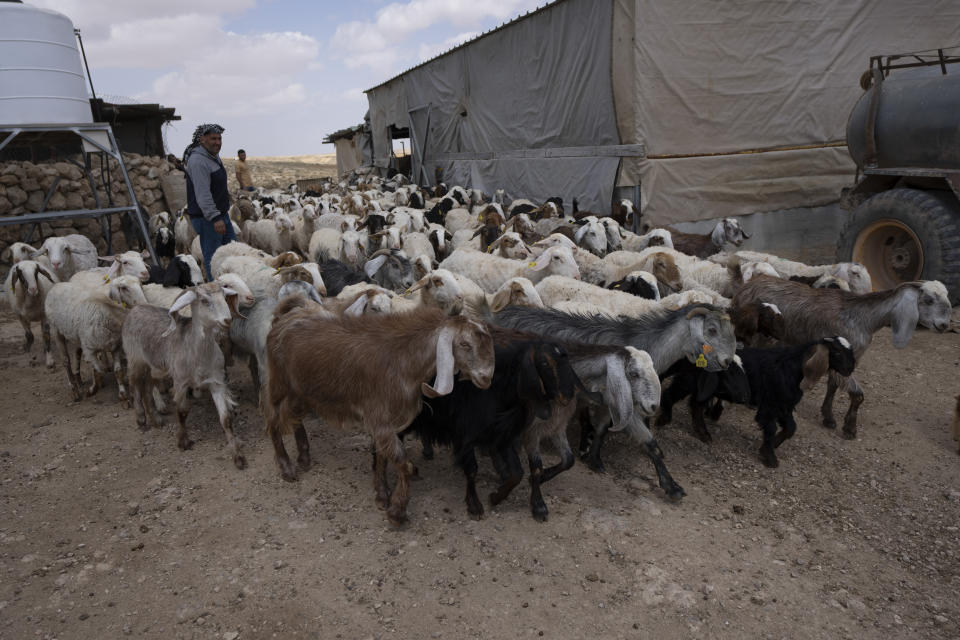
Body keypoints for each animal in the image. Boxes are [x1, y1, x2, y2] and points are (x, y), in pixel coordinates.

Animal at [262, 304, 496, 524]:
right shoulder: (380, 420)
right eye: (464, 344)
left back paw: (304, 458)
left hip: (301, 392)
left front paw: (382, 495)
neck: (403, 360)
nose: (486, 378)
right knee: (273, 421)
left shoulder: (386, 424)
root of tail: (282, 319)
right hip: (280, 385)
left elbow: (383, 457)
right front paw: (397, 511)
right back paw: (286, 468)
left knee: (294, 418)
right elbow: (402, 461)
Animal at [660, 338, 856, 468]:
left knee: (696, 405)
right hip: (689, 379)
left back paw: (703, 434)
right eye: (837, 352)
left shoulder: (784, 406)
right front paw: (769, 457)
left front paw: (773, 445)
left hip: (704, 386)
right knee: (671, 394)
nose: (850, 368)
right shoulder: (770, 405)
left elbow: (791, 428)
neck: (791, 367)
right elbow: (770, 428)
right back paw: (665, 418)